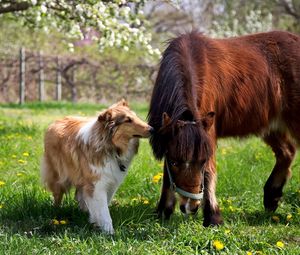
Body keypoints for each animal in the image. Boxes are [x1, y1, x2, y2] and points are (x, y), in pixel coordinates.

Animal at [41, 99, 154, 233]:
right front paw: (109, 232)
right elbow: (104, 210)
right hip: (58, 175)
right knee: (58, 195)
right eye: (128, 120)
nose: (153, 129)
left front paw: (95, 221)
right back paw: (55, 213)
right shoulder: (97, 184)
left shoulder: (111, 182)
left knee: (79, 195)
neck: (111, 148)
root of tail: (56, 121)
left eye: (135, 116)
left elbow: (100, 206)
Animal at [148, 30, 300, 226]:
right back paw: (271, 197)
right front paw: (163, 211)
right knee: (287, 151)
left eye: (202, 161)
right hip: (271, 125)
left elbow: (209, 172)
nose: (191, 207)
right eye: (174, 162)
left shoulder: (208, 132)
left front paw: (213, 217)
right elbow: (168, 176)